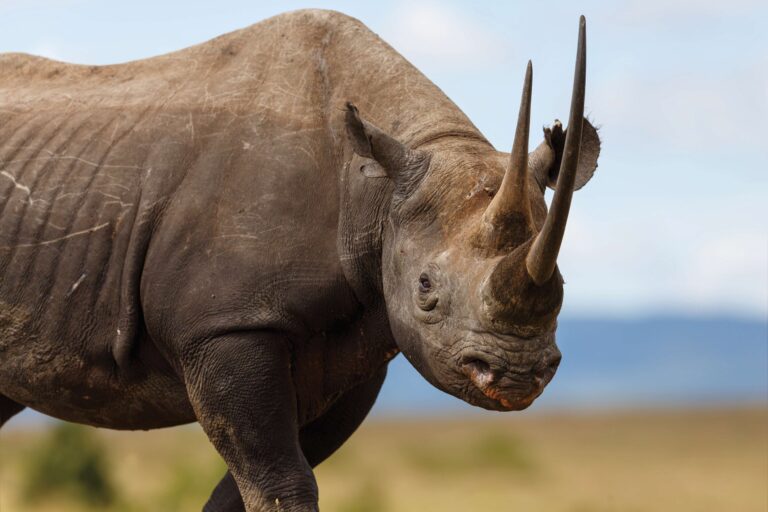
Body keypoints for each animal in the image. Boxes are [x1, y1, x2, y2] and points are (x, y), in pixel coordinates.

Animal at [0, 9, 600, 512]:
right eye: (425, 289)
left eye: (564, 288)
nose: (518, 375)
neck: (377, 189)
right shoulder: (226, 325)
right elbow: (279, 479)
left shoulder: (357, 348)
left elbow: (259, 481)